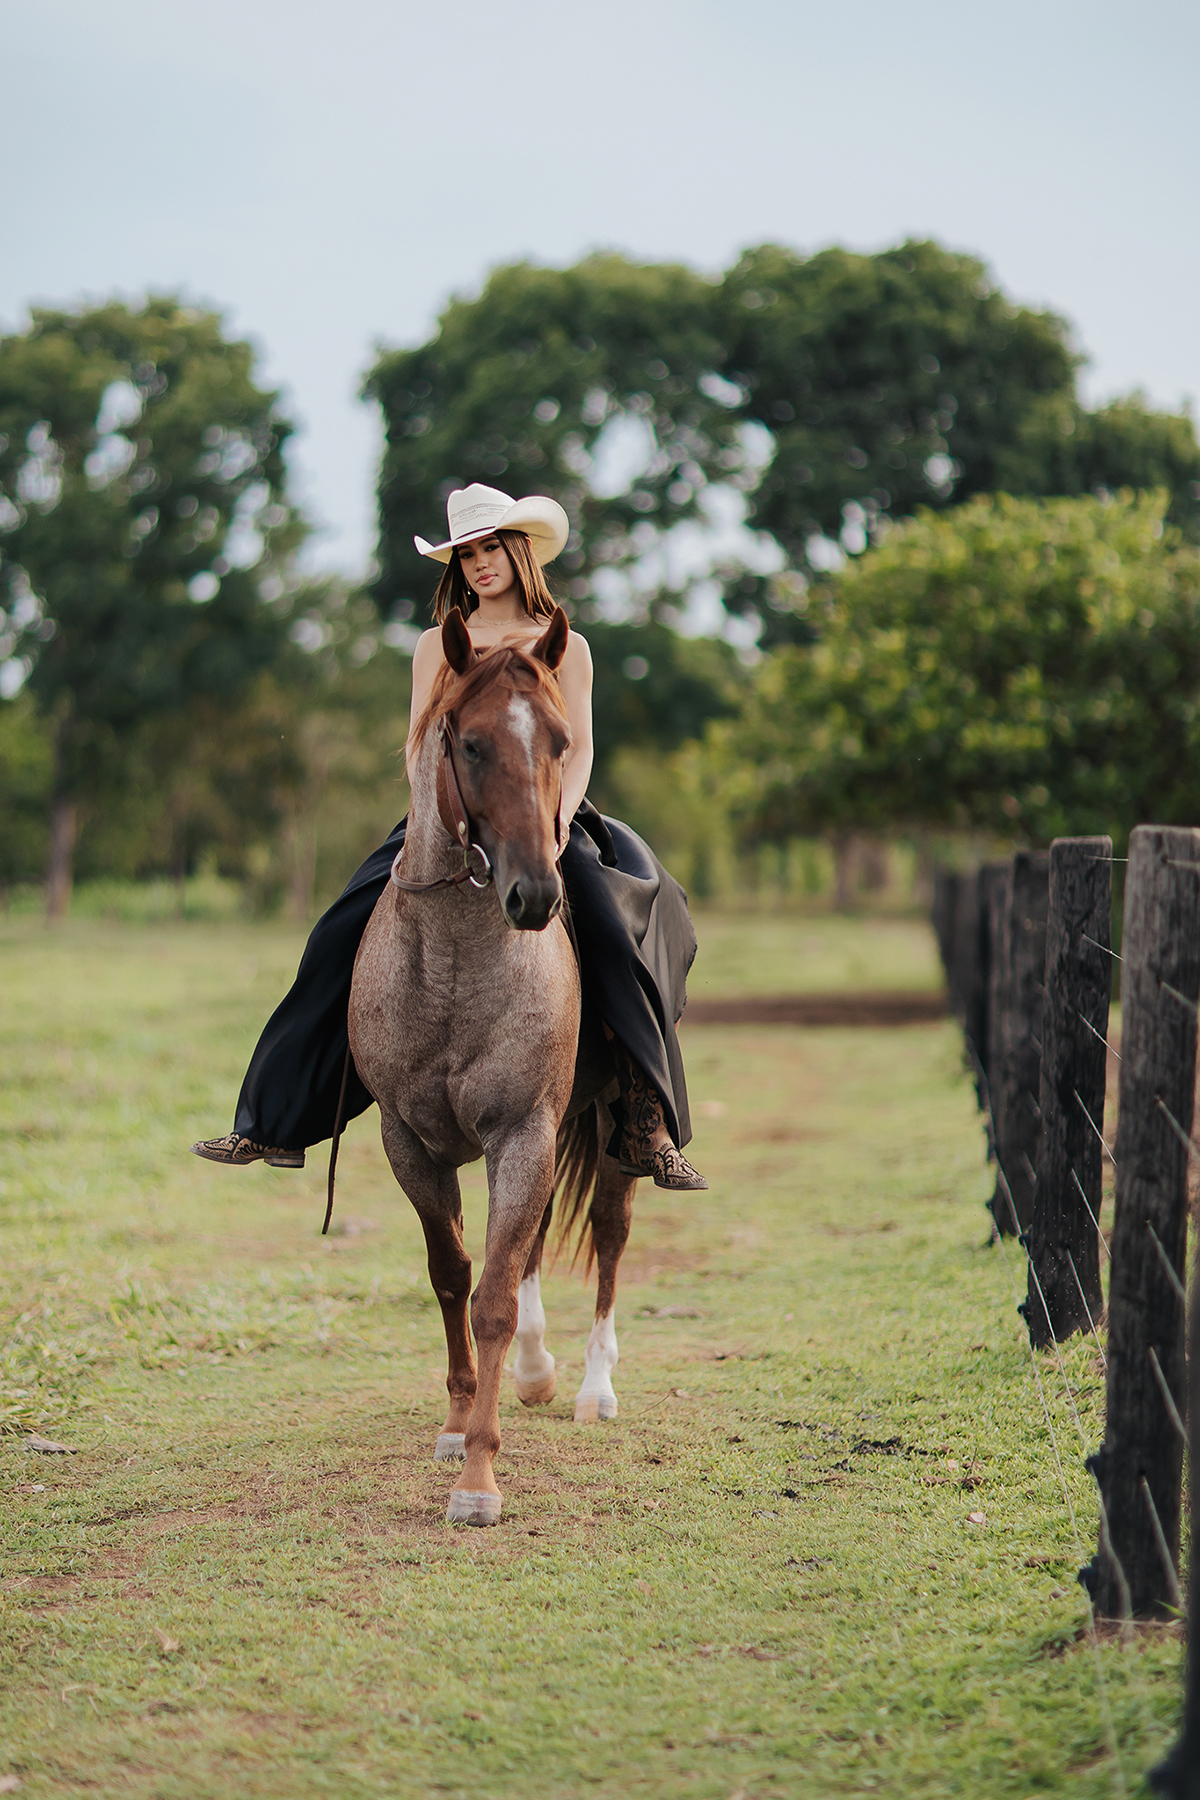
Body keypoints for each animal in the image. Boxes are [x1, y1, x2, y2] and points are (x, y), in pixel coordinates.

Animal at [348, 606, 638, 1527]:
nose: (535, 896)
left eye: (559, 741)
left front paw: (478, 1478)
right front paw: (455, 1424)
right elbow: (453, 1278)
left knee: (609, 1234)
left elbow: (495, 1298)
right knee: (536, 1243)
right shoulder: (411, 1142)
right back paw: (537, 1375)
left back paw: (592, 1389)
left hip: (609, 1129)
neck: (452, 968)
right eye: (469, 744)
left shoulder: (522, 1132)